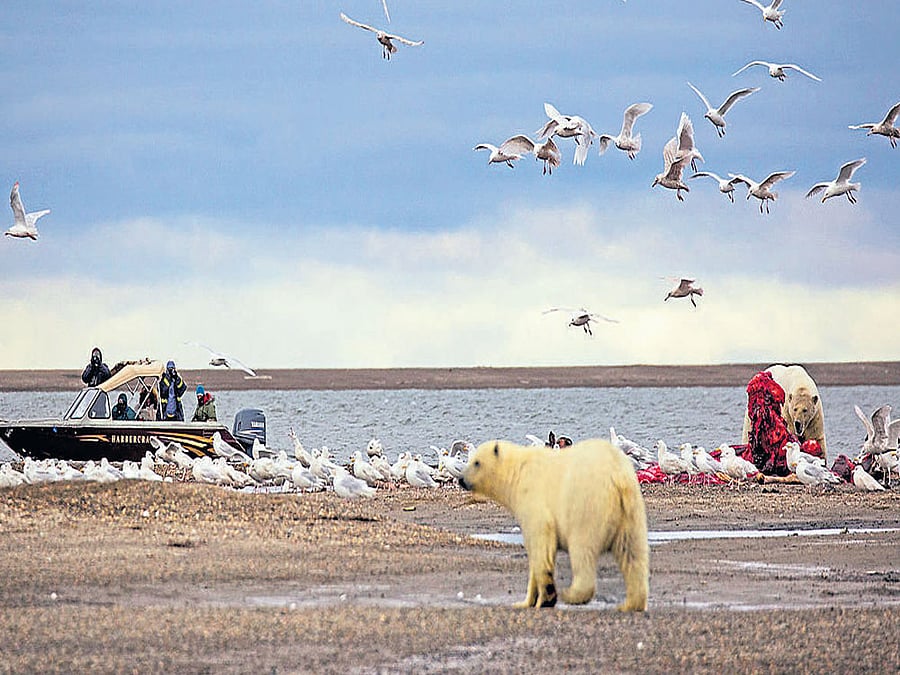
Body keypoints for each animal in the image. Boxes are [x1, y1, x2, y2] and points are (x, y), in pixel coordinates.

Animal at [459, 438, 649, 611]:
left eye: (476, 462)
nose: (461, 479)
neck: (518, 472)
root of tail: (617, 478)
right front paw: (525, 602)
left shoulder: (533, 500)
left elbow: (541, 546)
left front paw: (545, 599)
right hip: (631, 511)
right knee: (632, 553)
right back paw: (631, 604)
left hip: (587, 506)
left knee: (583, 550)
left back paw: (572, 594)